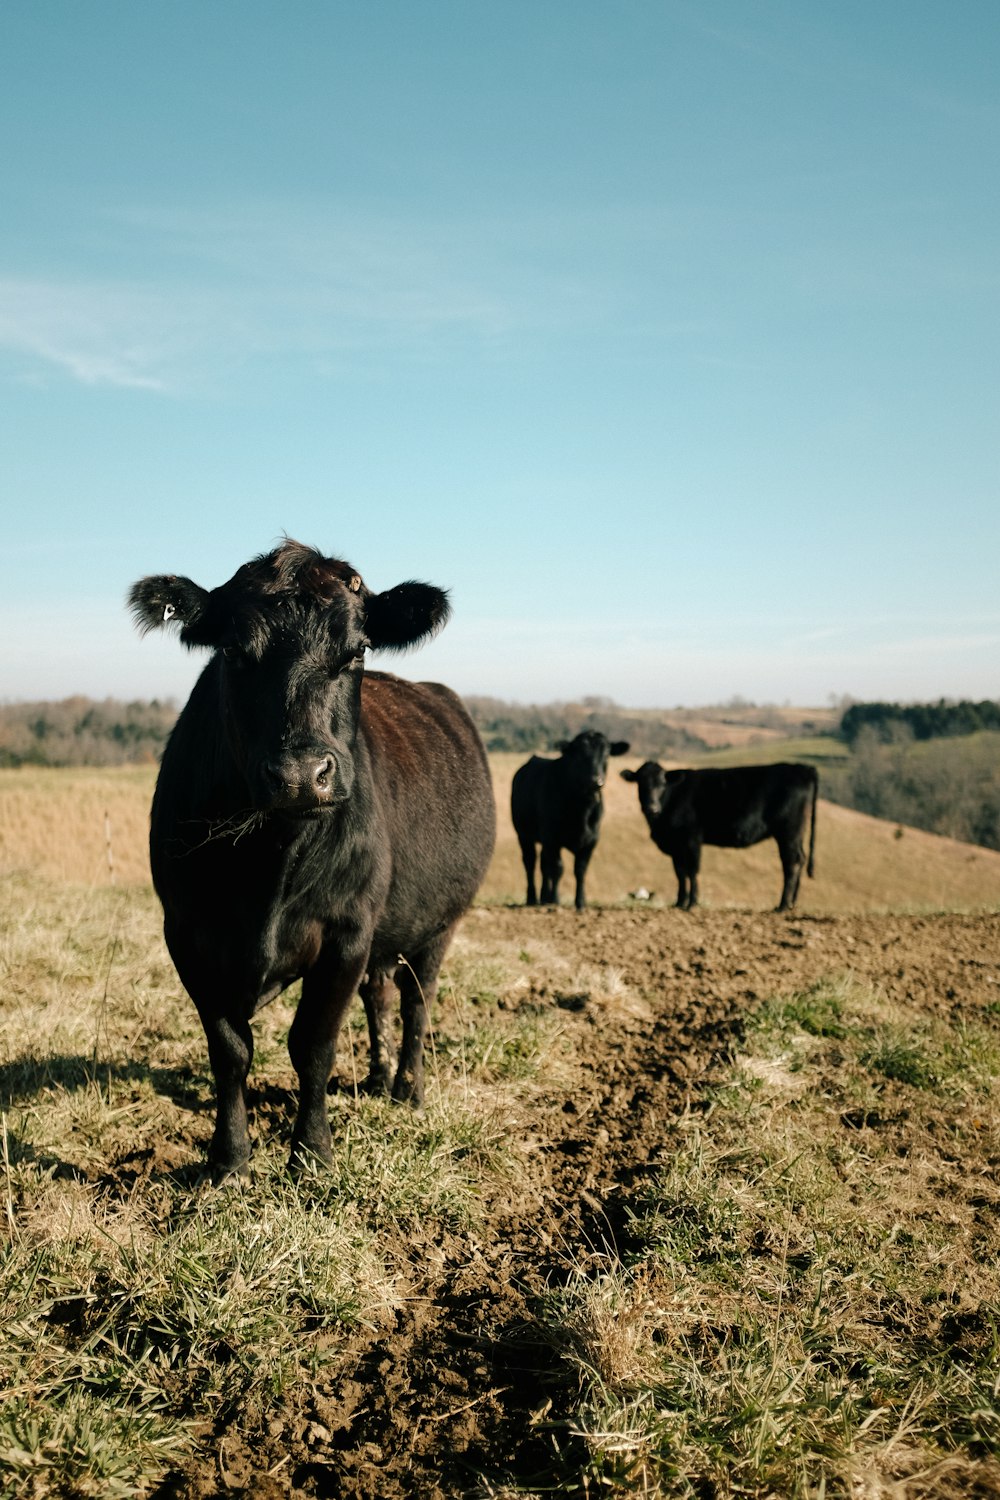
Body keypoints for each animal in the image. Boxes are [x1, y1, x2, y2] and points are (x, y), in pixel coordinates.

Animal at [128, 543, 497, 1182]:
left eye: (357, 651)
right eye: (234, 650)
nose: (302, 775)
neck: (268, 867)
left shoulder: (346, 932)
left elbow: (313, 1045)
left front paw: (312, 1153)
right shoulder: (188, 936)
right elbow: (230, 1051)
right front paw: (229, 1159)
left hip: (437, 927)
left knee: (416, 1003)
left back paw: (407, 1088)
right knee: (379, 996)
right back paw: (376, 1077)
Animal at [512, 729, 629, 906]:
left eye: (607, 754)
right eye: (579, 755)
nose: (596, 781)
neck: (582, 809)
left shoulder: (591, 840)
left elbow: (580, 870)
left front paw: (580, 902)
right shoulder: (552, 837)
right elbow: (558, 868)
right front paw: (555, 899)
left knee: (543, 864)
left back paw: (544, 897)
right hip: (524, 835)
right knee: (530, 863)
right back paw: (533, 898)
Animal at [620, 762, 815, 912]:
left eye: (662, 783)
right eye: (640, 783)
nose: (651, 808)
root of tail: (802, 768)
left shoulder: (691, 839)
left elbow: (692, 870)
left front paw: (692, 903)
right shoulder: (677, 846)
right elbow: (680, 873)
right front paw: (679, 902)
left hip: (788, 832)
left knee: (791, 863)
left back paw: (782, 905)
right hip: (796, 834)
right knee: (800, 859)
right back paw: (792, 903)